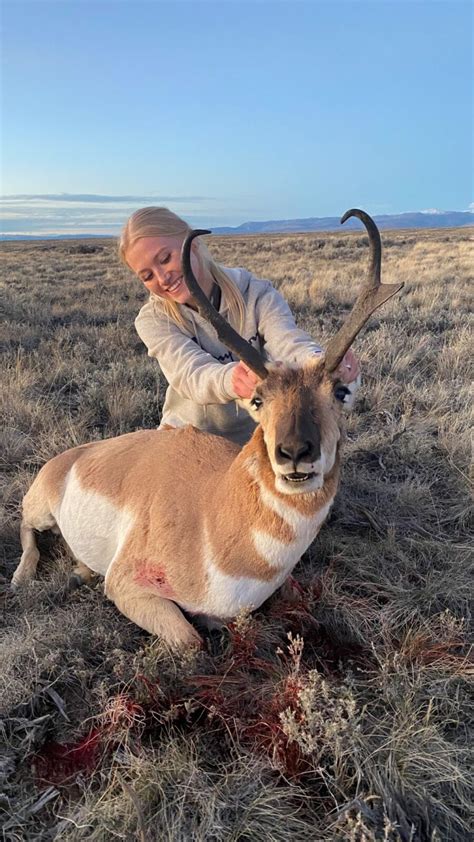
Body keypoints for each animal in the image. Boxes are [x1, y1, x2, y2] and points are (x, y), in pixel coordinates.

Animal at [12, 208, 404, 644]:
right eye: (257, 400)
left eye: (340, 391)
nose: (295, 453)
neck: (212, 510)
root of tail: (69, 457)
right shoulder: (125, 585)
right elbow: (192, 641)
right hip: (41, 510)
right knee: (24, 526)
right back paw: (22, 577)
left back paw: (79, 569)